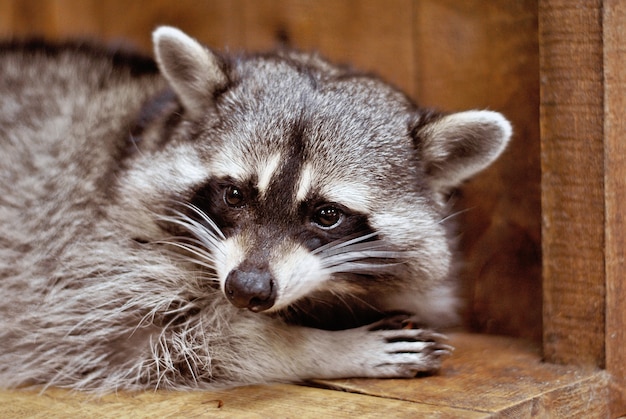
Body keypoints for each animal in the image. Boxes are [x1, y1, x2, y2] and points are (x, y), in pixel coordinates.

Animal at [0, 27, 510, 394]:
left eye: (327, 214)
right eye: (234, 195)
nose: (247, 289)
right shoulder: (88, 254)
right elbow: (153, 342)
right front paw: (322, 347)